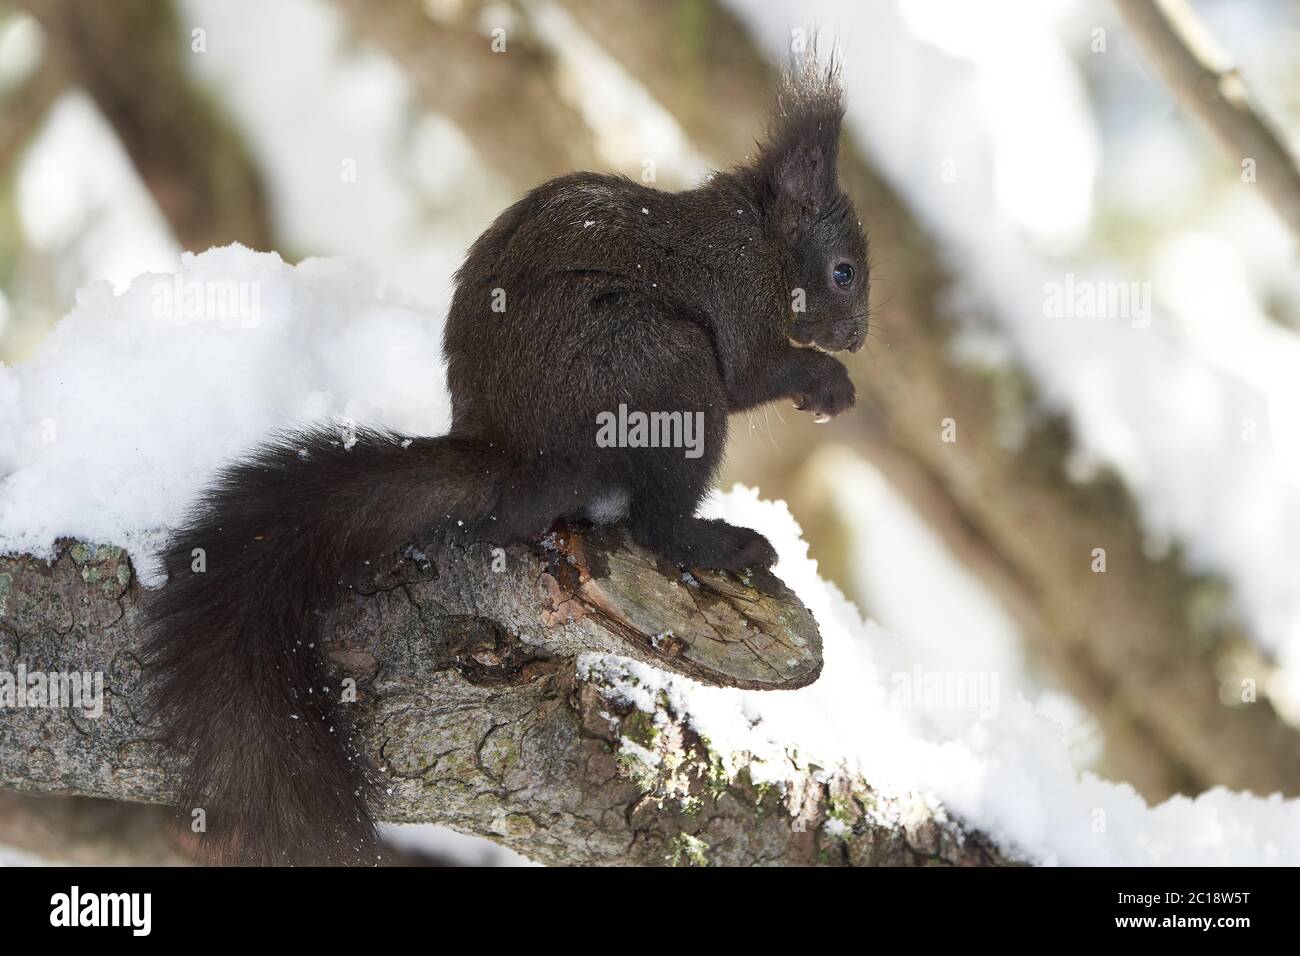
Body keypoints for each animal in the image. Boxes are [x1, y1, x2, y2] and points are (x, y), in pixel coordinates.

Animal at [144, 62, 869, 865]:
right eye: (843, 272)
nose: (859, 337)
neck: (761, 236)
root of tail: (516, 458)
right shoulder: (736, 291)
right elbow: (749, 373)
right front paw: (826, 382)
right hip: (666, 370)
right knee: (655, 521)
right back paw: (722, 543)